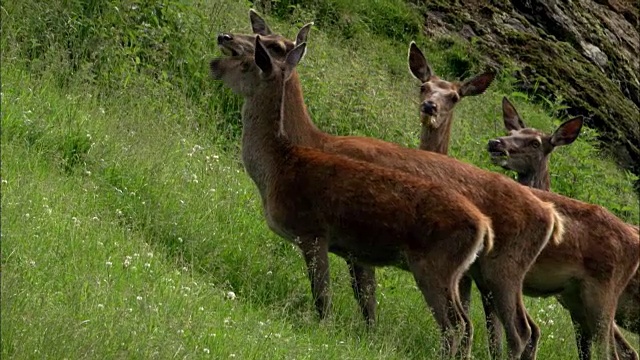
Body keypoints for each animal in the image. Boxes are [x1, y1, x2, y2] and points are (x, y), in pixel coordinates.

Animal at [216, 9, 564, 358]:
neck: (307, 143)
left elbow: (353, 297)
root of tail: (550, 215)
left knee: (511, 330)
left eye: (274, 45)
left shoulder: (336, 236)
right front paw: (368, 338)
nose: (224, 38)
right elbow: (368, 302)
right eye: (260, 31)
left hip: (499, 269)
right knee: (517, 328)